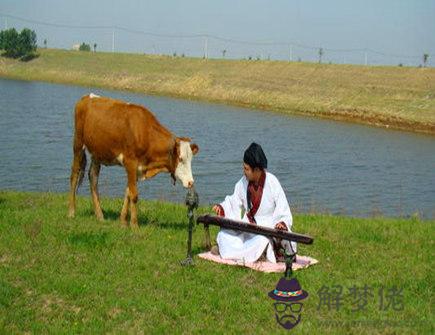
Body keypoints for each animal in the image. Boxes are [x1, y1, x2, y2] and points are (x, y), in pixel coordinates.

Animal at [67, 94, 200, 228]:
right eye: (181, 159)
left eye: (191, 159)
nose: (190, 182)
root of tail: (87, 97)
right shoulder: (130, 162)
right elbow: (134, 195)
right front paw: (134, 224)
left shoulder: (136, 168)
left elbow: (128, 193)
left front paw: (123, 222)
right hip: (78, 144)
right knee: (74, 175)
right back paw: (71, 212)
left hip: (97, 152)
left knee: (93, 177)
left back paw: (100, 215)